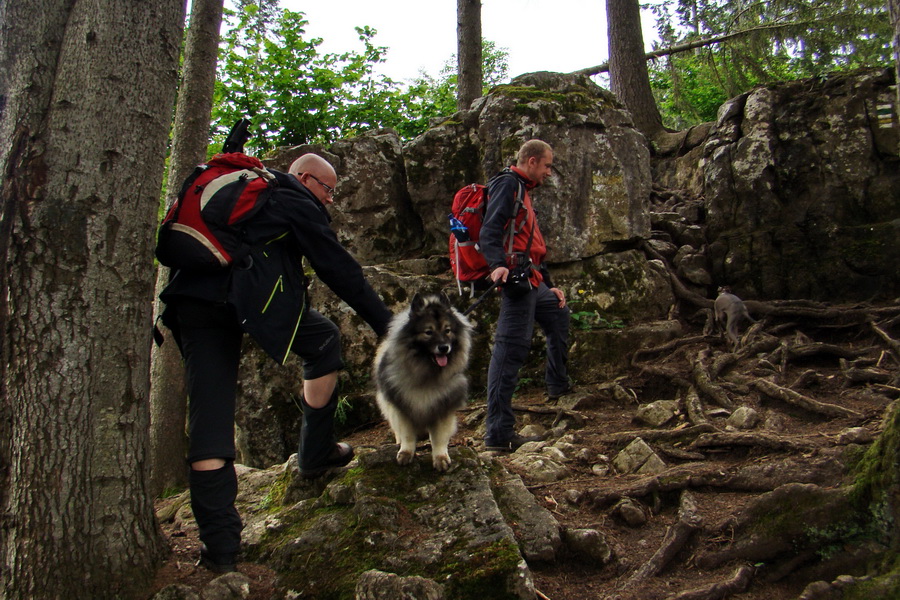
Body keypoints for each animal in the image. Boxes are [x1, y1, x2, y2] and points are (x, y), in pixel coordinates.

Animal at [372, 292, 474, 472]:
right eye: (428, 332)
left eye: (447, 330)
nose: (444, 347)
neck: (425, 373)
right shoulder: (402, 407)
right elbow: (407, 434)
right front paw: (406, 452)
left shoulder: (442, 408)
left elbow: (439, 438)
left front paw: (440, 458)